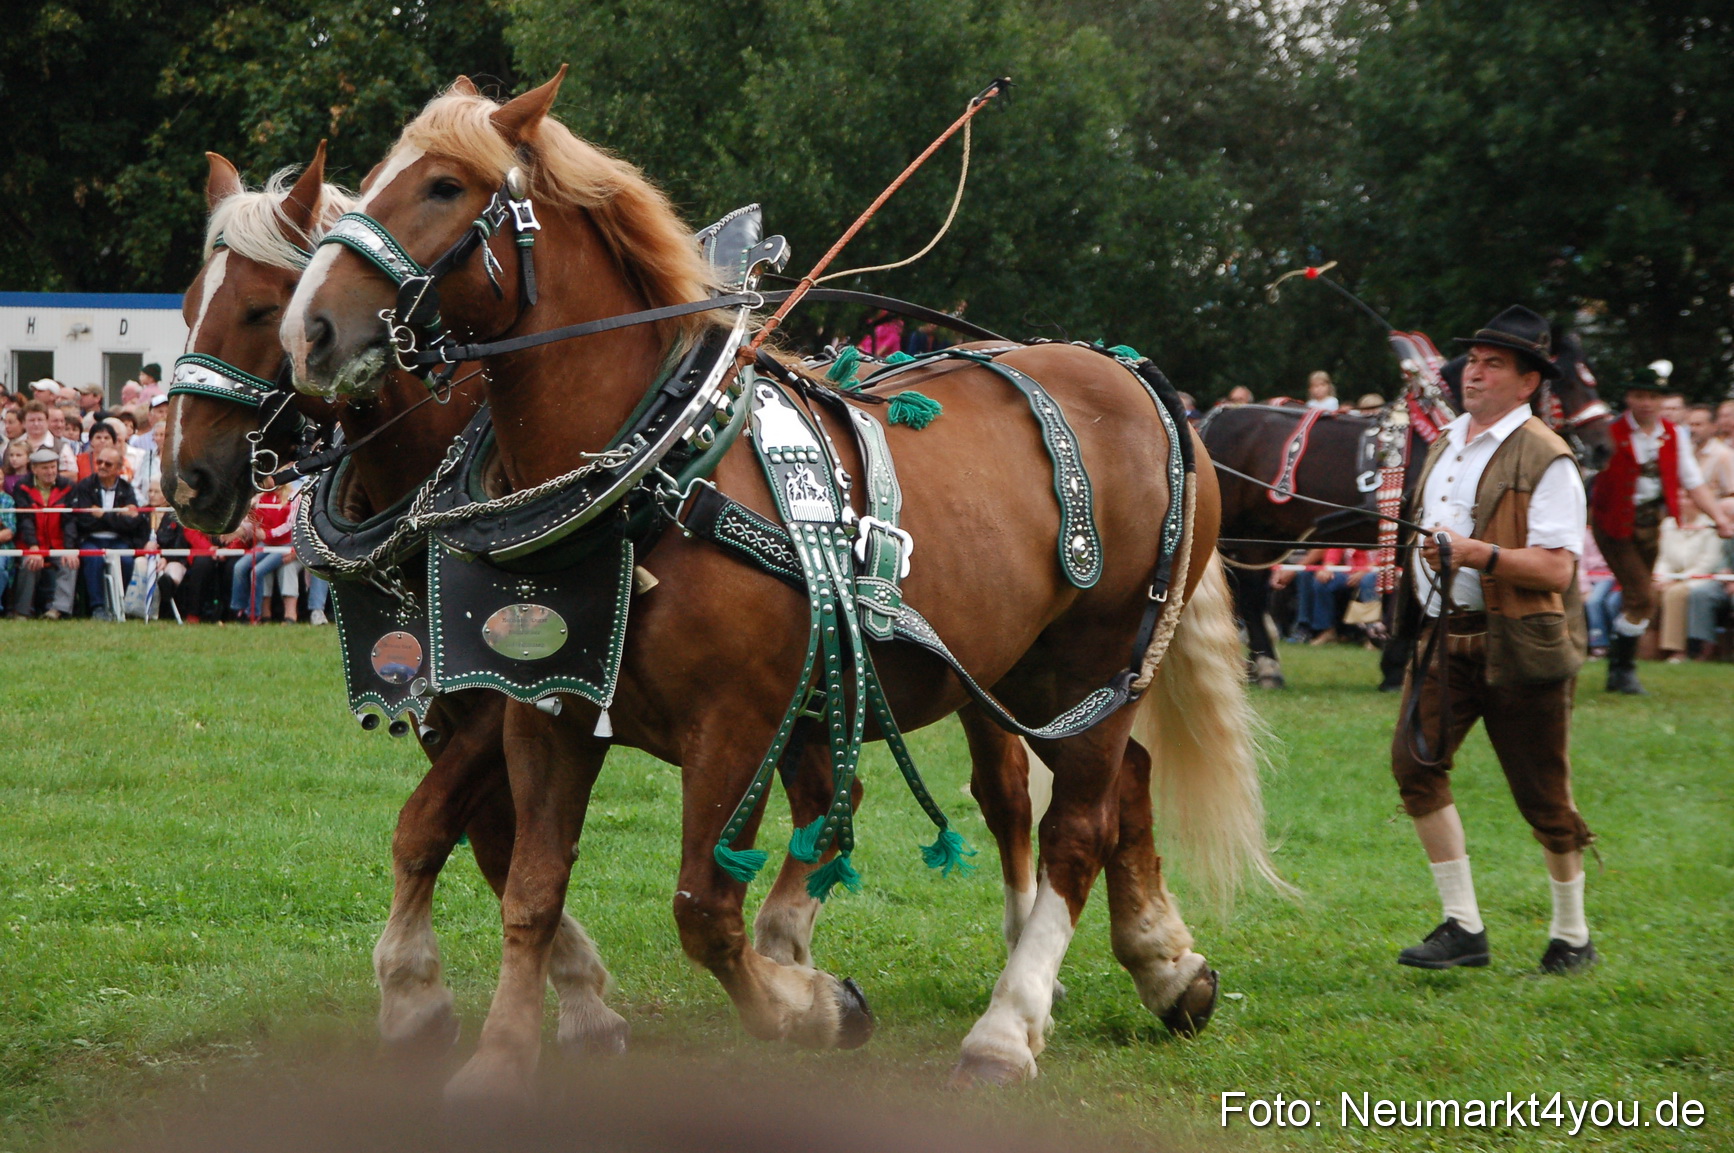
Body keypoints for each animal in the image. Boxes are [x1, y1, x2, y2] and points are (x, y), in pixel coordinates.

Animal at [161, 142, 630, 1056]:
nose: (188, 479)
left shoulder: (500, 689)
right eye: (191, 306)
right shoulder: (439, 700)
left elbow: (430, 823)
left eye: (263, 308)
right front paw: (576, 987)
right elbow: (493, 842)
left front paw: (415, 989)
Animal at [281, 72, 1275, 1098]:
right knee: (1125, 785)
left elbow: (704, 910)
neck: (656, 475)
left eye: (442, 186)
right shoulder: (543, 707)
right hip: (1033, 674)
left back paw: (1009, 1022)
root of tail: (1137, 379)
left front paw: (816, 1006)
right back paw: (1167, 964)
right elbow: (531, 885)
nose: (310, 330)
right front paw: (503, 1058)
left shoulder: (738, 724)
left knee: (1077, 824)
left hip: (1101, 657)